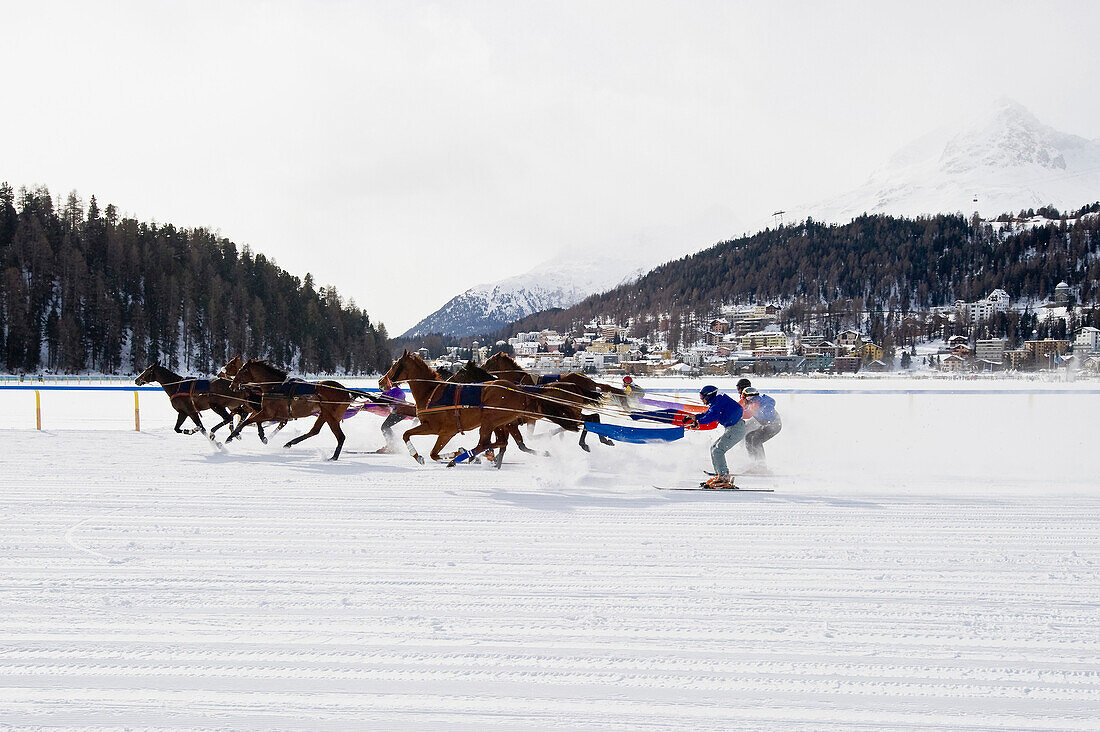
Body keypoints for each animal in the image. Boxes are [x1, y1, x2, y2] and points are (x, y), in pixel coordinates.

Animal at [225, 358, 371, 460]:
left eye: (242, 371)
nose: (232, 385)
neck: (275, 387)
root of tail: (345, 390)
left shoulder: (269, 413)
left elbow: (247, 421)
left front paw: (231, 437)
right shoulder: (272, 414)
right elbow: (256, 422)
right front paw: (263, 437)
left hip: (331, 416)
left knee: (340, 437)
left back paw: (333, 457)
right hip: (324, 414)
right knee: (314, 431)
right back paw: (289, 443)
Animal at [380, 352, 576, 464]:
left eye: (395, 365)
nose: (381, 381)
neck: (431, 393)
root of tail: (519, 391)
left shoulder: (436, 428)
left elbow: (408, 436)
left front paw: (419, 456)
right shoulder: (446, 432)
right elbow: (433, 453)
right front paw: (454, 453)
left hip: (490, 420)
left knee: (486, 443)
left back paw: (463, 458)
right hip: (500, 423)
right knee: (500, 443)